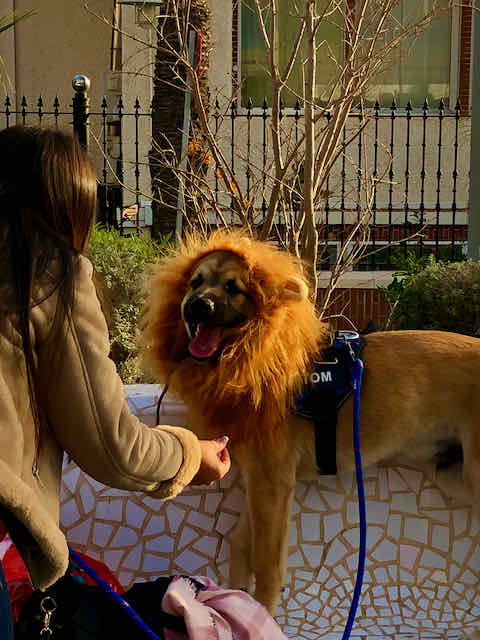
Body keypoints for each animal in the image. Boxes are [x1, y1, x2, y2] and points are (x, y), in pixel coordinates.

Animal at [140, 229, 479, 615]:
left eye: (233, 287)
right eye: (195, 282)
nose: (197, 306)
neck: (258, 358)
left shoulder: (273, 483)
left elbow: (267, 565)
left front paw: (263, 615)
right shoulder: (260, 483)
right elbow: (240, 546)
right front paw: (236, 605)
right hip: (451, 473)